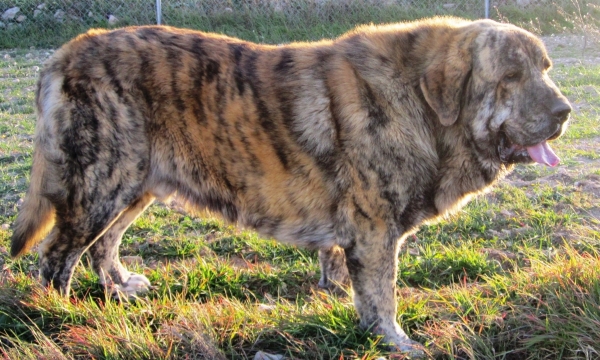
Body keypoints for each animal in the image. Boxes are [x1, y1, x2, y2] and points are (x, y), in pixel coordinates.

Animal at [11, 18, 568, 352]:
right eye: (511, 76)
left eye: (545, 69)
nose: (565, 112)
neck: (422, 103)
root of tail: (65, 53)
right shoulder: (375, 230)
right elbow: (383, 295)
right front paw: (395, 342)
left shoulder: (354, 231)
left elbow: (345, 275)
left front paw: (337, 299)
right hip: (102, 183)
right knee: (58, 256)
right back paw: (61, 316)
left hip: (135, 184)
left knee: (103, 244)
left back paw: (120, 286)